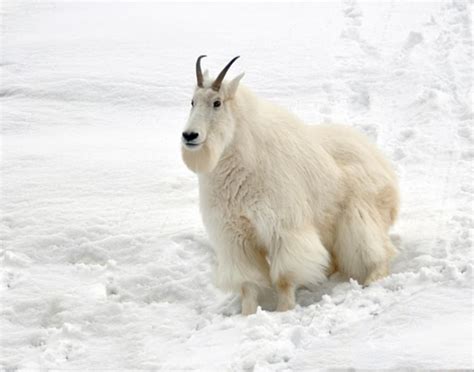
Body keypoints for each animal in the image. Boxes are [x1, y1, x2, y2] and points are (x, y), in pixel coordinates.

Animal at [181, 56, 400, 316]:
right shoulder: (235, 236)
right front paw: (247, 314)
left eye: (217, 103)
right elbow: (247, 283)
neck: (240, 162)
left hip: (358, 215)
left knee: (378, 250)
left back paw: (372, 279)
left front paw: (284, 310)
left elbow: (284, 277)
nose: (189, 136)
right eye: (192, 101)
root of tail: (381, 161)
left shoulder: (283, 228)